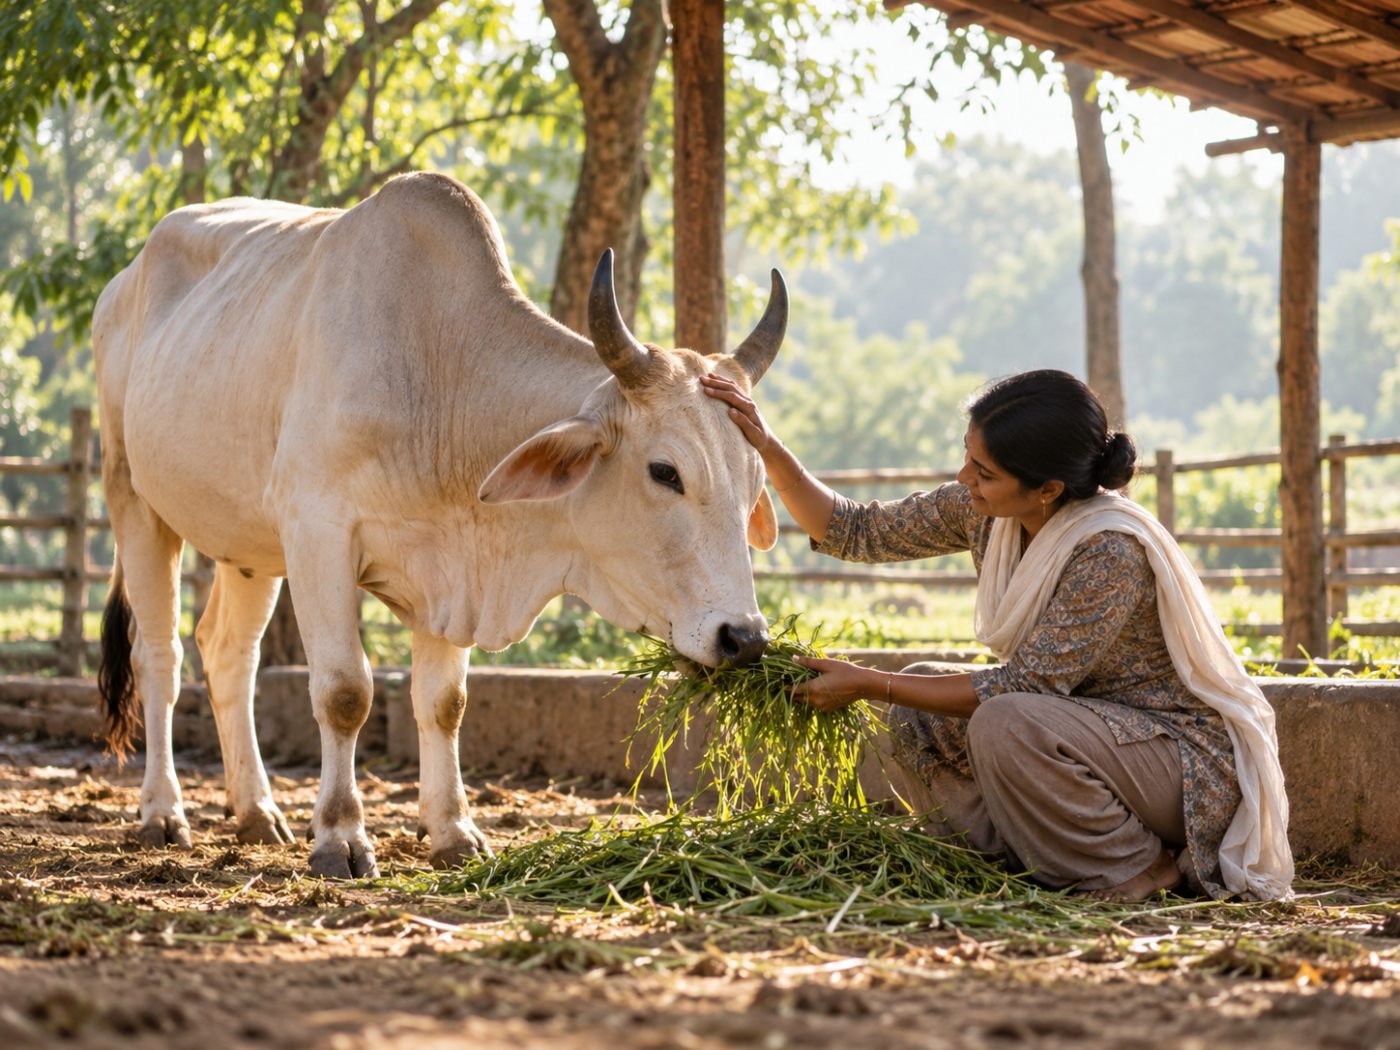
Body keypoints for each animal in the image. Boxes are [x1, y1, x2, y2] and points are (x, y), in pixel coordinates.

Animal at [92, 171, 786, 878]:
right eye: (665, 471)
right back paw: (163, 813)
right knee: (161, 657)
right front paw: (341, 836)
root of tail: (124, 282)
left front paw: (453, 830)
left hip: (249, 546)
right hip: (134, 499)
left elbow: (444, 704)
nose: (745, 639)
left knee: (229, 654)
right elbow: (344, 692)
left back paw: (256, 811)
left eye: (756, 480)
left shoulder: (450, 572)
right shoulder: (318, 533)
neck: (437, 374)